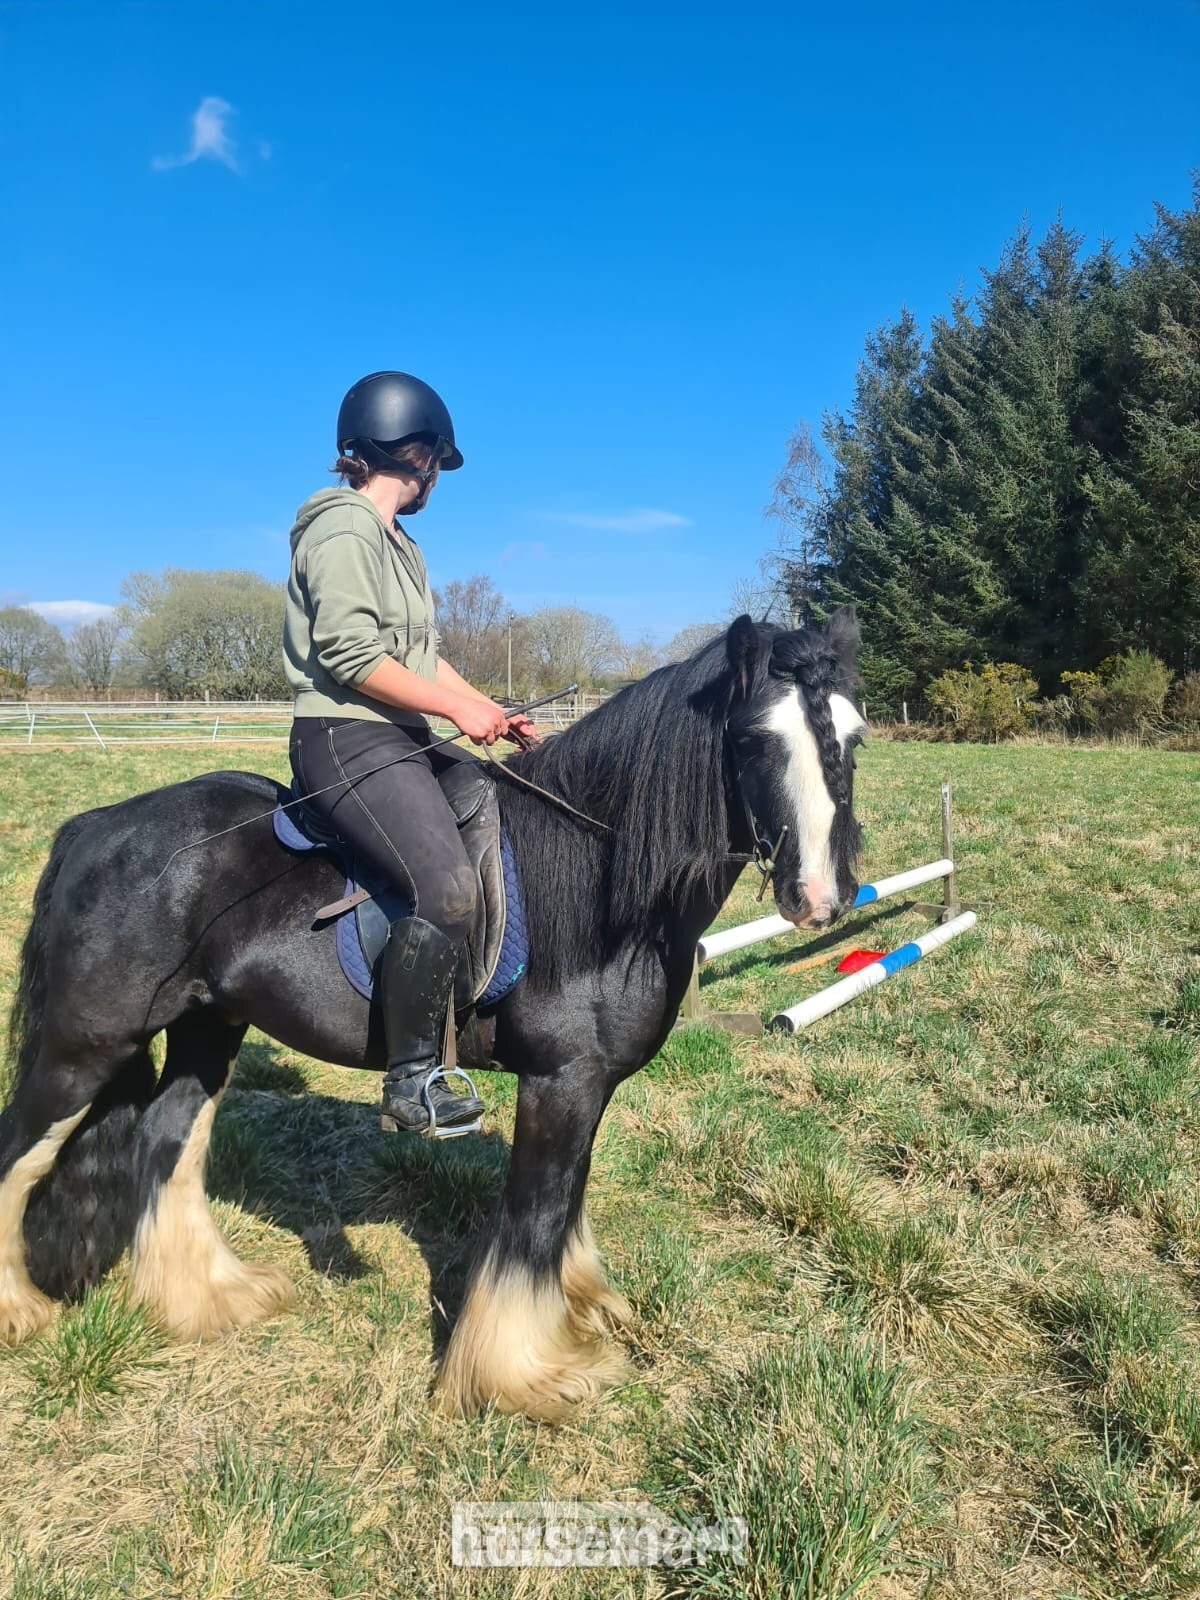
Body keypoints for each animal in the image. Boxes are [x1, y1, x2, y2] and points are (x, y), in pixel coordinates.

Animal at [0, 611, 864, 1420]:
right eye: (754, 738)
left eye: (854, 736)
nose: (821, 898)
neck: (600, 879)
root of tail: (98, 826)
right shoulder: (559, 1083)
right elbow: (535, 1218)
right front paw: (523, 1372)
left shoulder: (590, 1086)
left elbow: (567, 1205)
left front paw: (582, 1309)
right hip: (83, 1046)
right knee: (20, 1151)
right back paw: (22, 1314)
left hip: (208, 1027)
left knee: (165, 1141)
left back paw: (210, 1298)